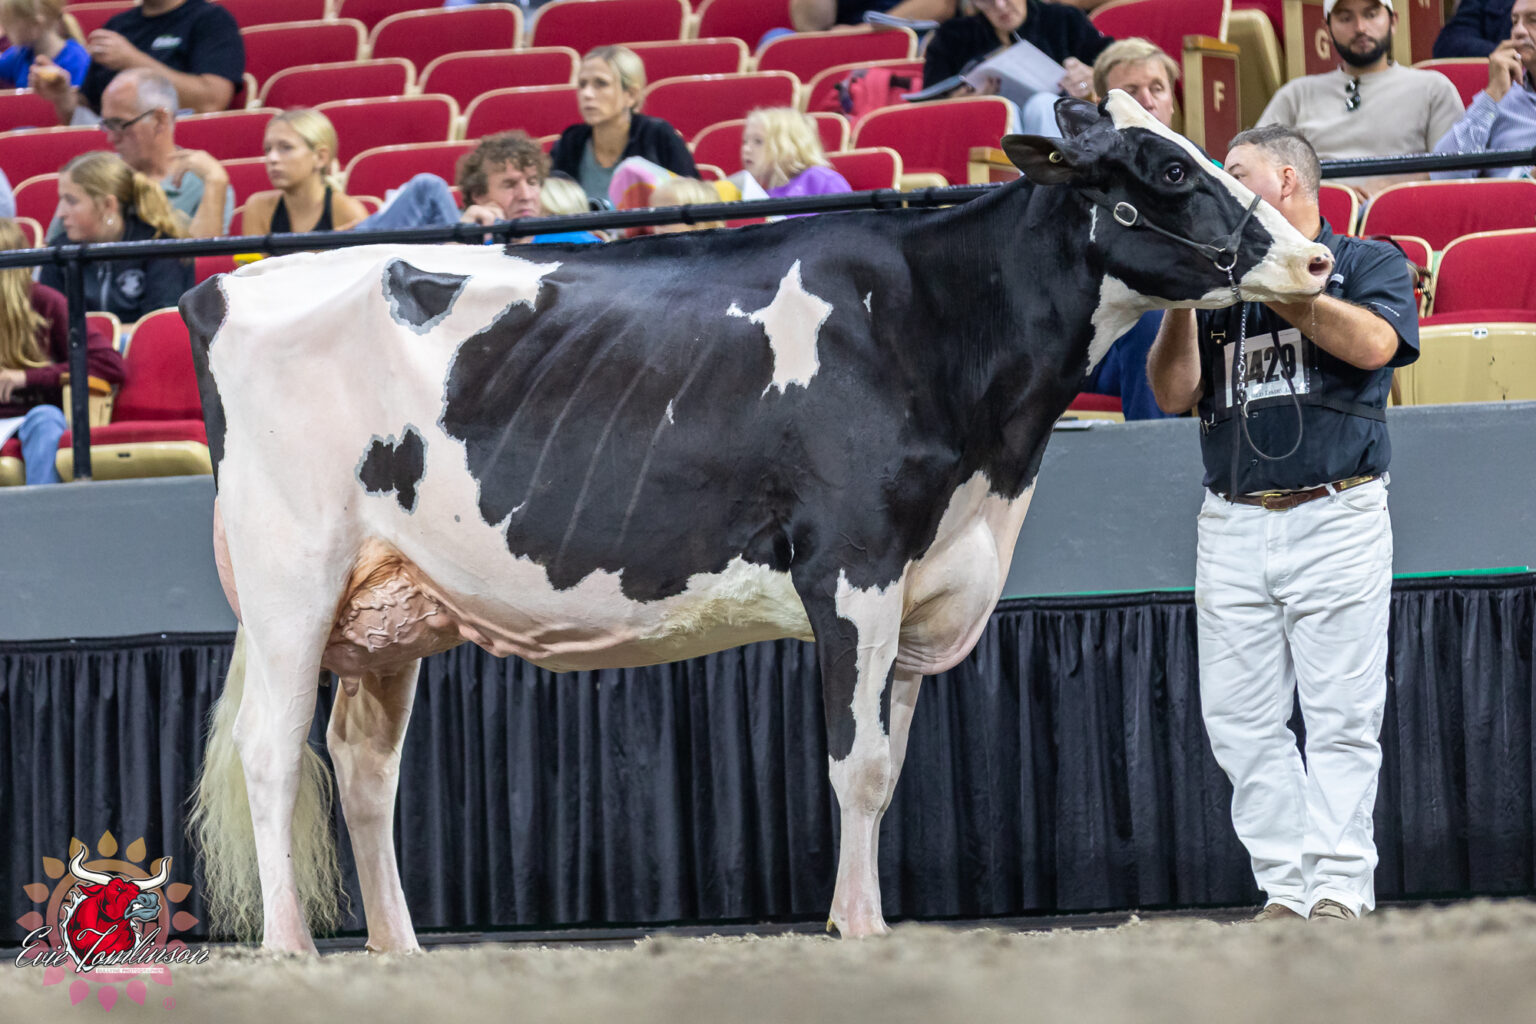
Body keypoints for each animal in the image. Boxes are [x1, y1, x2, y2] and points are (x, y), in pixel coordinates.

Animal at [184, 94, 1333, 954]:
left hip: (394, 602)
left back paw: (399, 949)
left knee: (364, 766)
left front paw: (854, 915)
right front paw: (860, 930)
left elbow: (888, 766)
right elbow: (854, 766)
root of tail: (229, 287)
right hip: (294, 574)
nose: (1316, 262)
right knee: (273, 749)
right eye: (1168, 171)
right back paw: (292, 948)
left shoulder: (921, 586)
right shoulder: (853, 564)